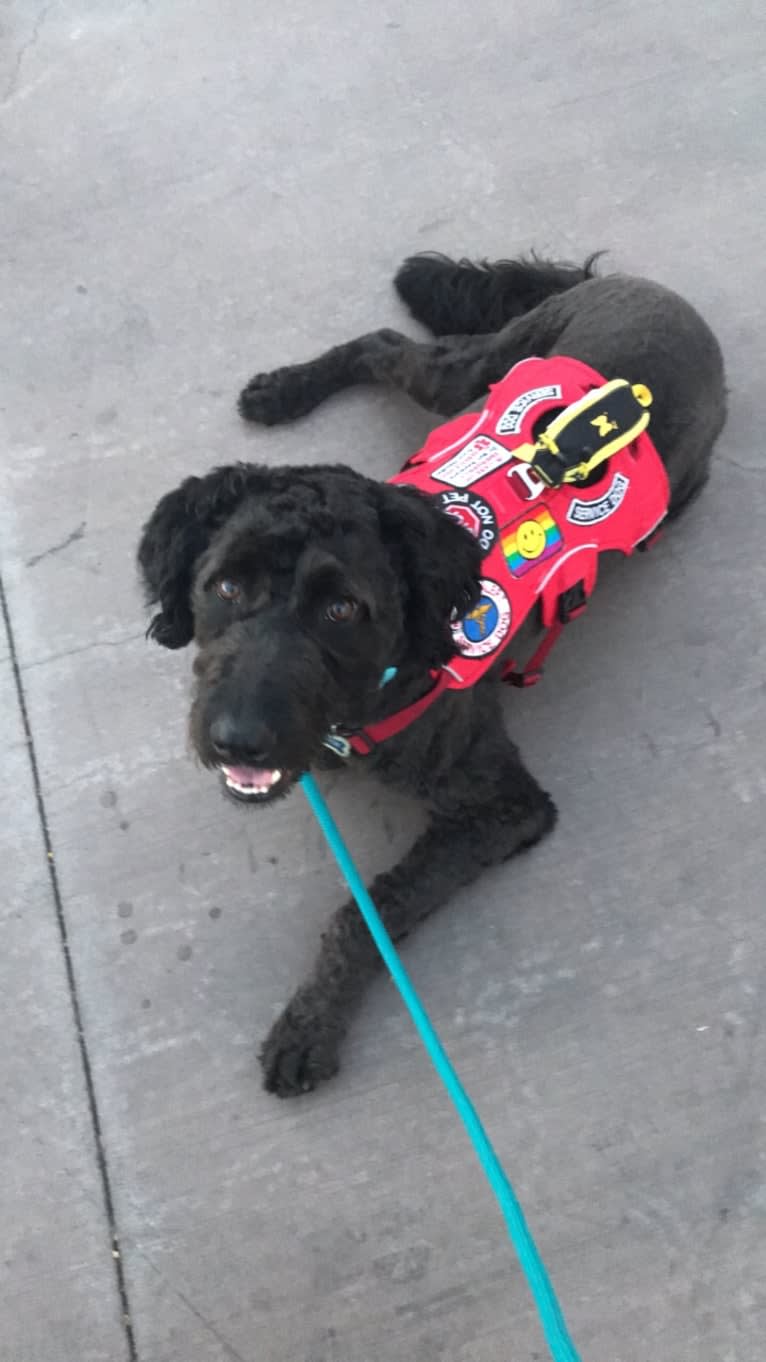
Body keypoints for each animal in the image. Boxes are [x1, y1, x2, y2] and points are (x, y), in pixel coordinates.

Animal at [140, 253, 725, 1095]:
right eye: (223, 585)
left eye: (342, 609)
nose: (237, 740)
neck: (376, 684)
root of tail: (656, 290)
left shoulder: (502, 805)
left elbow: (368, 910)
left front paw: (308, 1025)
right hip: (470, 374)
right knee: (384, 342)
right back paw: (284, 390)